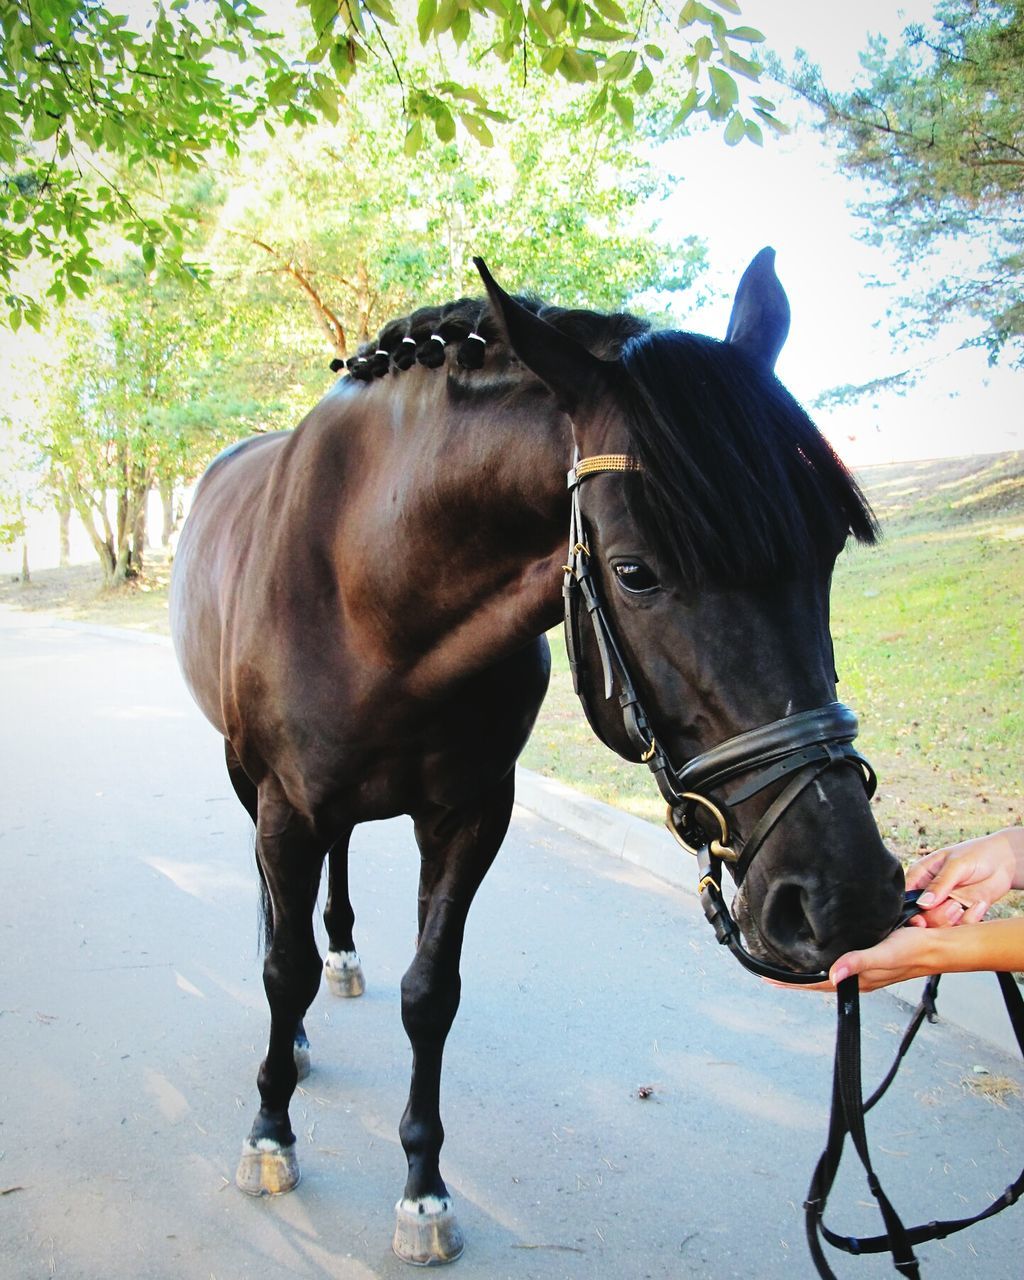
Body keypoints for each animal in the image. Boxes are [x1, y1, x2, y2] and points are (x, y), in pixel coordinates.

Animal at [167, 247, 906, 1259]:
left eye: (827, 549)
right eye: (635, 572)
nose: (848, 896)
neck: (371, 594)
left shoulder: (473, 812)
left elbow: (431, 993)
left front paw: (424, 1188)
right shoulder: (286, 803)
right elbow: (285, 969)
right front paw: (270, 1132)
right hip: (254, 787)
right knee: (281, 913)